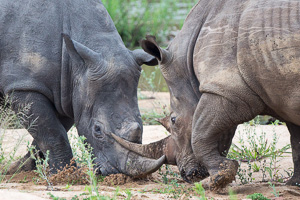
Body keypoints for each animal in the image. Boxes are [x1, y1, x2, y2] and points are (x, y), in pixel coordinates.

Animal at [0, 0, 166, 176]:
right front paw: (65, 175)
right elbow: (53, 133)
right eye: (97, 129)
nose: (117, 173)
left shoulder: (68, 92)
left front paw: (19, 168)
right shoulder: (24, 85)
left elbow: (51, 131)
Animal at [112, 0, 300, 189]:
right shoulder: (284, 98)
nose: (188, 176)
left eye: (173, 120)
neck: (185, 62)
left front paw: (218, 178)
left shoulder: (225, 90)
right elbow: (296, 141)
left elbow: (199, 133)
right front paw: (293, 185)